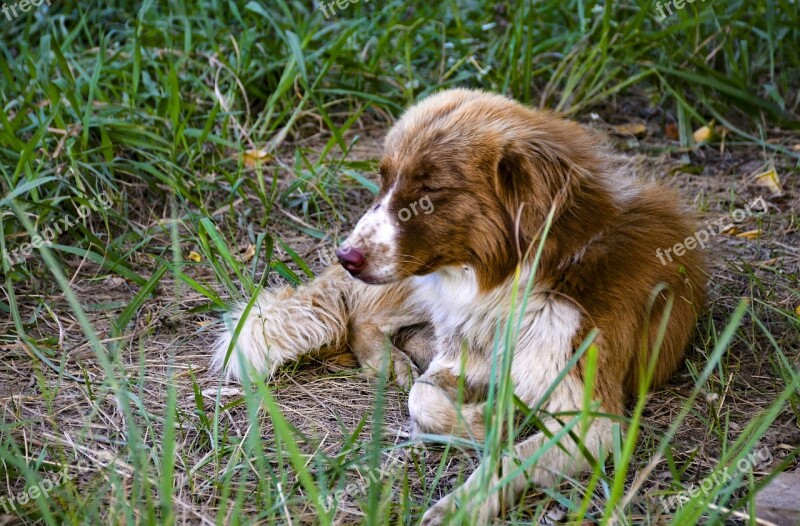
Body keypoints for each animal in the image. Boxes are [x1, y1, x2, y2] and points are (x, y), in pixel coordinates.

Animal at [214, 89, 708, 524]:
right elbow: (422, 396)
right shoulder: (459, 358)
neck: (516, 286)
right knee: (363, 317)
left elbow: (509, 461)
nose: (345, 256)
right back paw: (390, 361)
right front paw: (488, 417)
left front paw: (460, 506)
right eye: (383, 179)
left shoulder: (591, 419)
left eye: (430, 189)